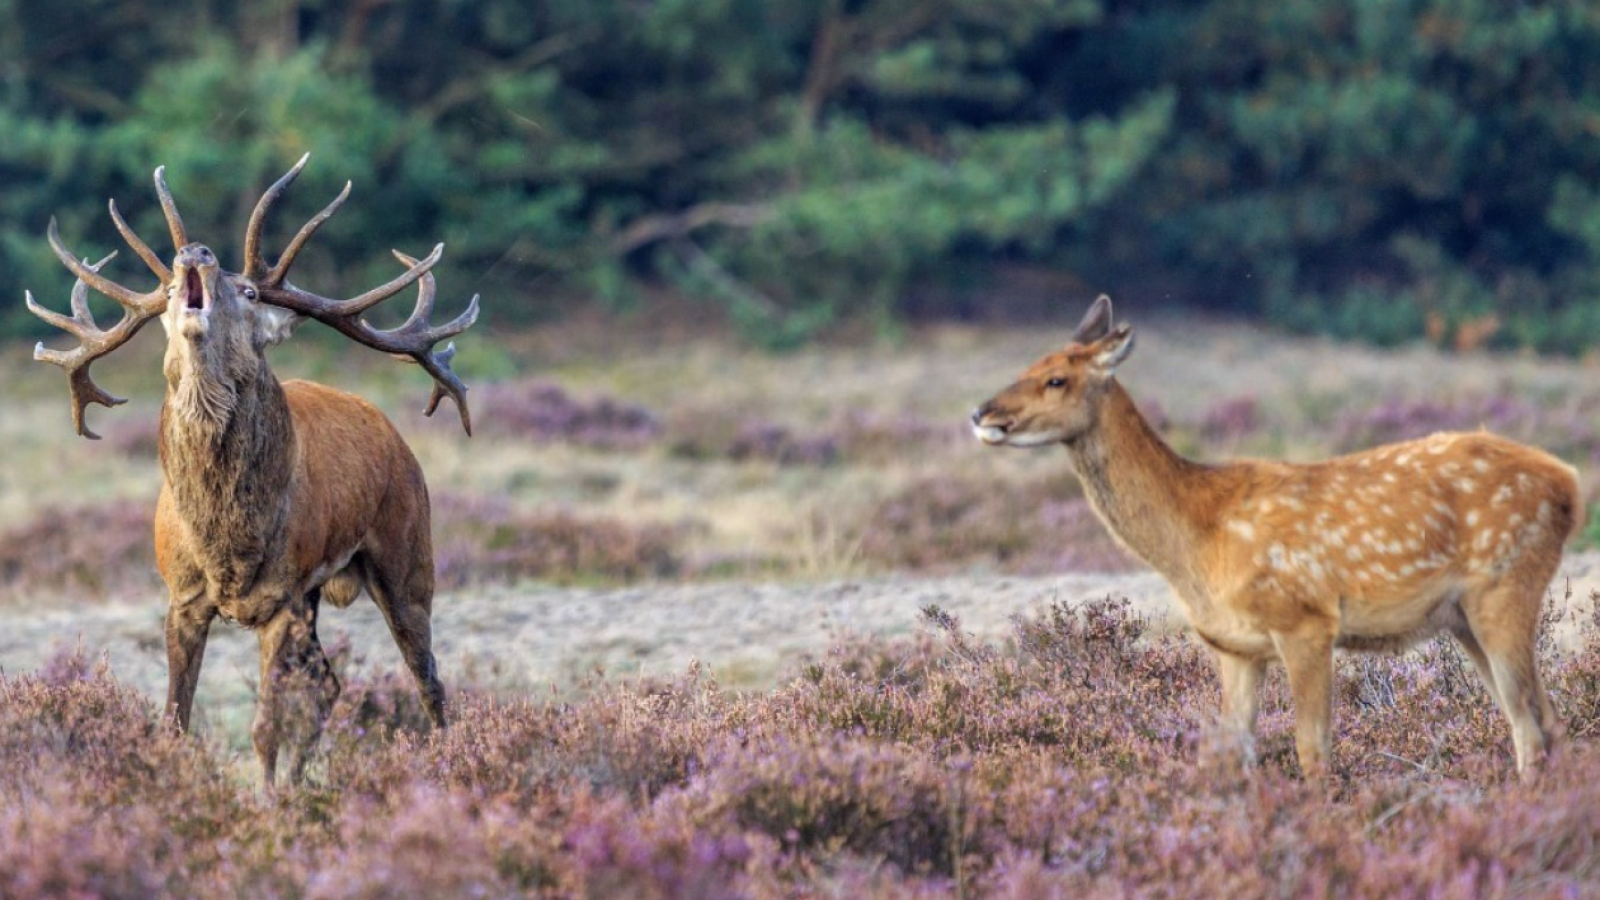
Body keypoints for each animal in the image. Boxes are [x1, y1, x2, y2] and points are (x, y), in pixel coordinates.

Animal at [28, 157, 476, 787]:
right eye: (170, 290)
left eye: (247, 290)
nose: (195, 251)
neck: (228, 543)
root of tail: (391, 432)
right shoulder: (183, 596)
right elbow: (175, 719)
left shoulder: (281, 597)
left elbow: (265, 726)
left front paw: (265, 800)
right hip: (318, 594)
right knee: (328, 683)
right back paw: (300, 780)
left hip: (407, 553)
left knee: (428, 680)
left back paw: (445, 763)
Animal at [966, 297, 1580, 775]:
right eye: (1029, 363)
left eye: (1057, 378)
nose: (982, 413)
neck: (1196, 539)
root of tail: (1568, 484)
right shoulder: (1234, 645)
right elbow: (1234, 752)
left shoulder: (1305, 618)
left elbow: (1313, 752)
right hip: (1462, 616)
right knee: (1541, 721)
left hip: (1506, 582)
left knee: (1533, 725)